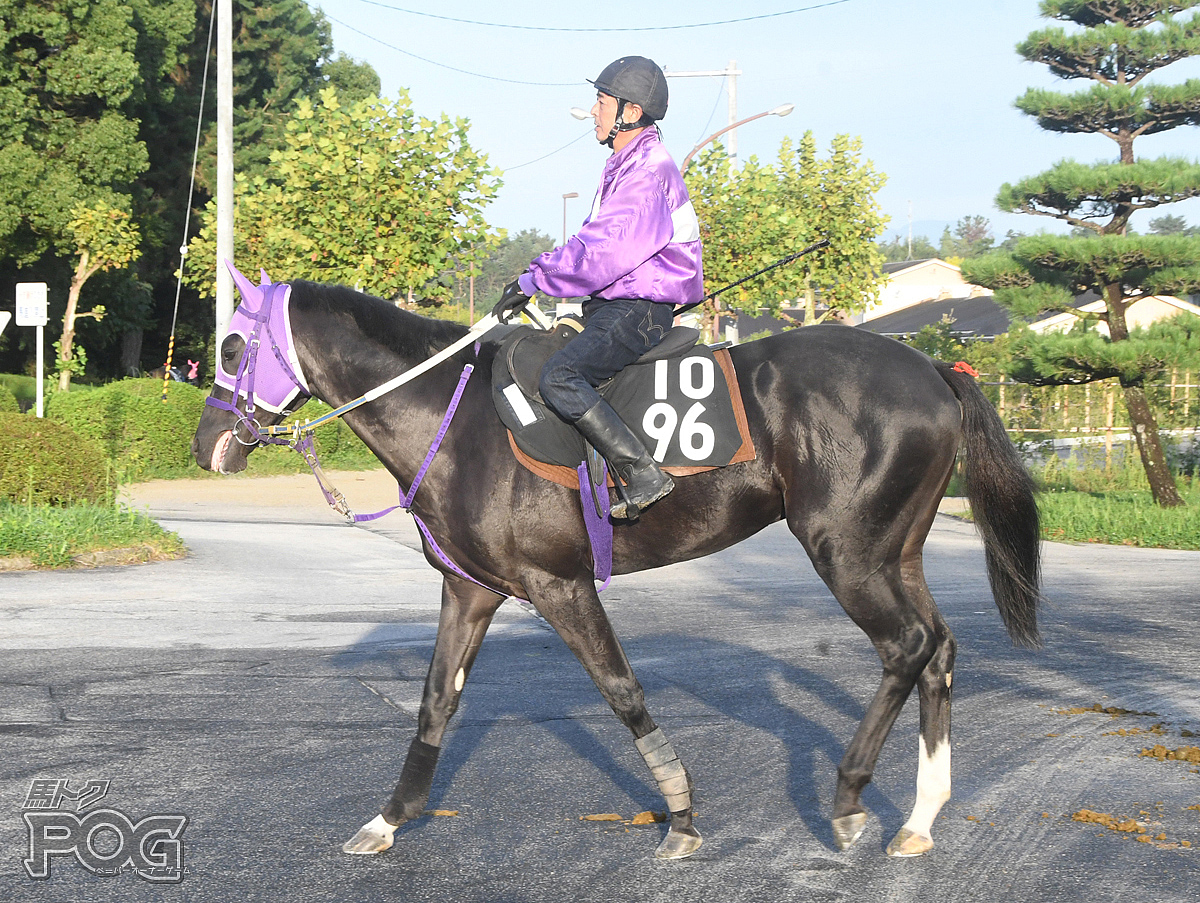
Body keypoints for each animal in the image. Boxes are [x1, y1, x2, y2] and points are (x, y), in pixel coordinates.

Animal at [189, 273, 1041, 859]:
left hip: (848, 550)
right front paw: (387, 819)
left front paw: (681, 815)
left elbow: (622, 689)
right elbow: (434, 702)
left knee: (906, 645)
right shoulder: (469, 589)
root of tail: (936, 371)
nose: (204, 444)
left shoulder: (557, 585)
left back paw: (849, 796)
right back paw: (920, 817)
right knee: (939, 649)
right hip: (896, 551)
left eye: (230, 347)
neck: (455, 420)